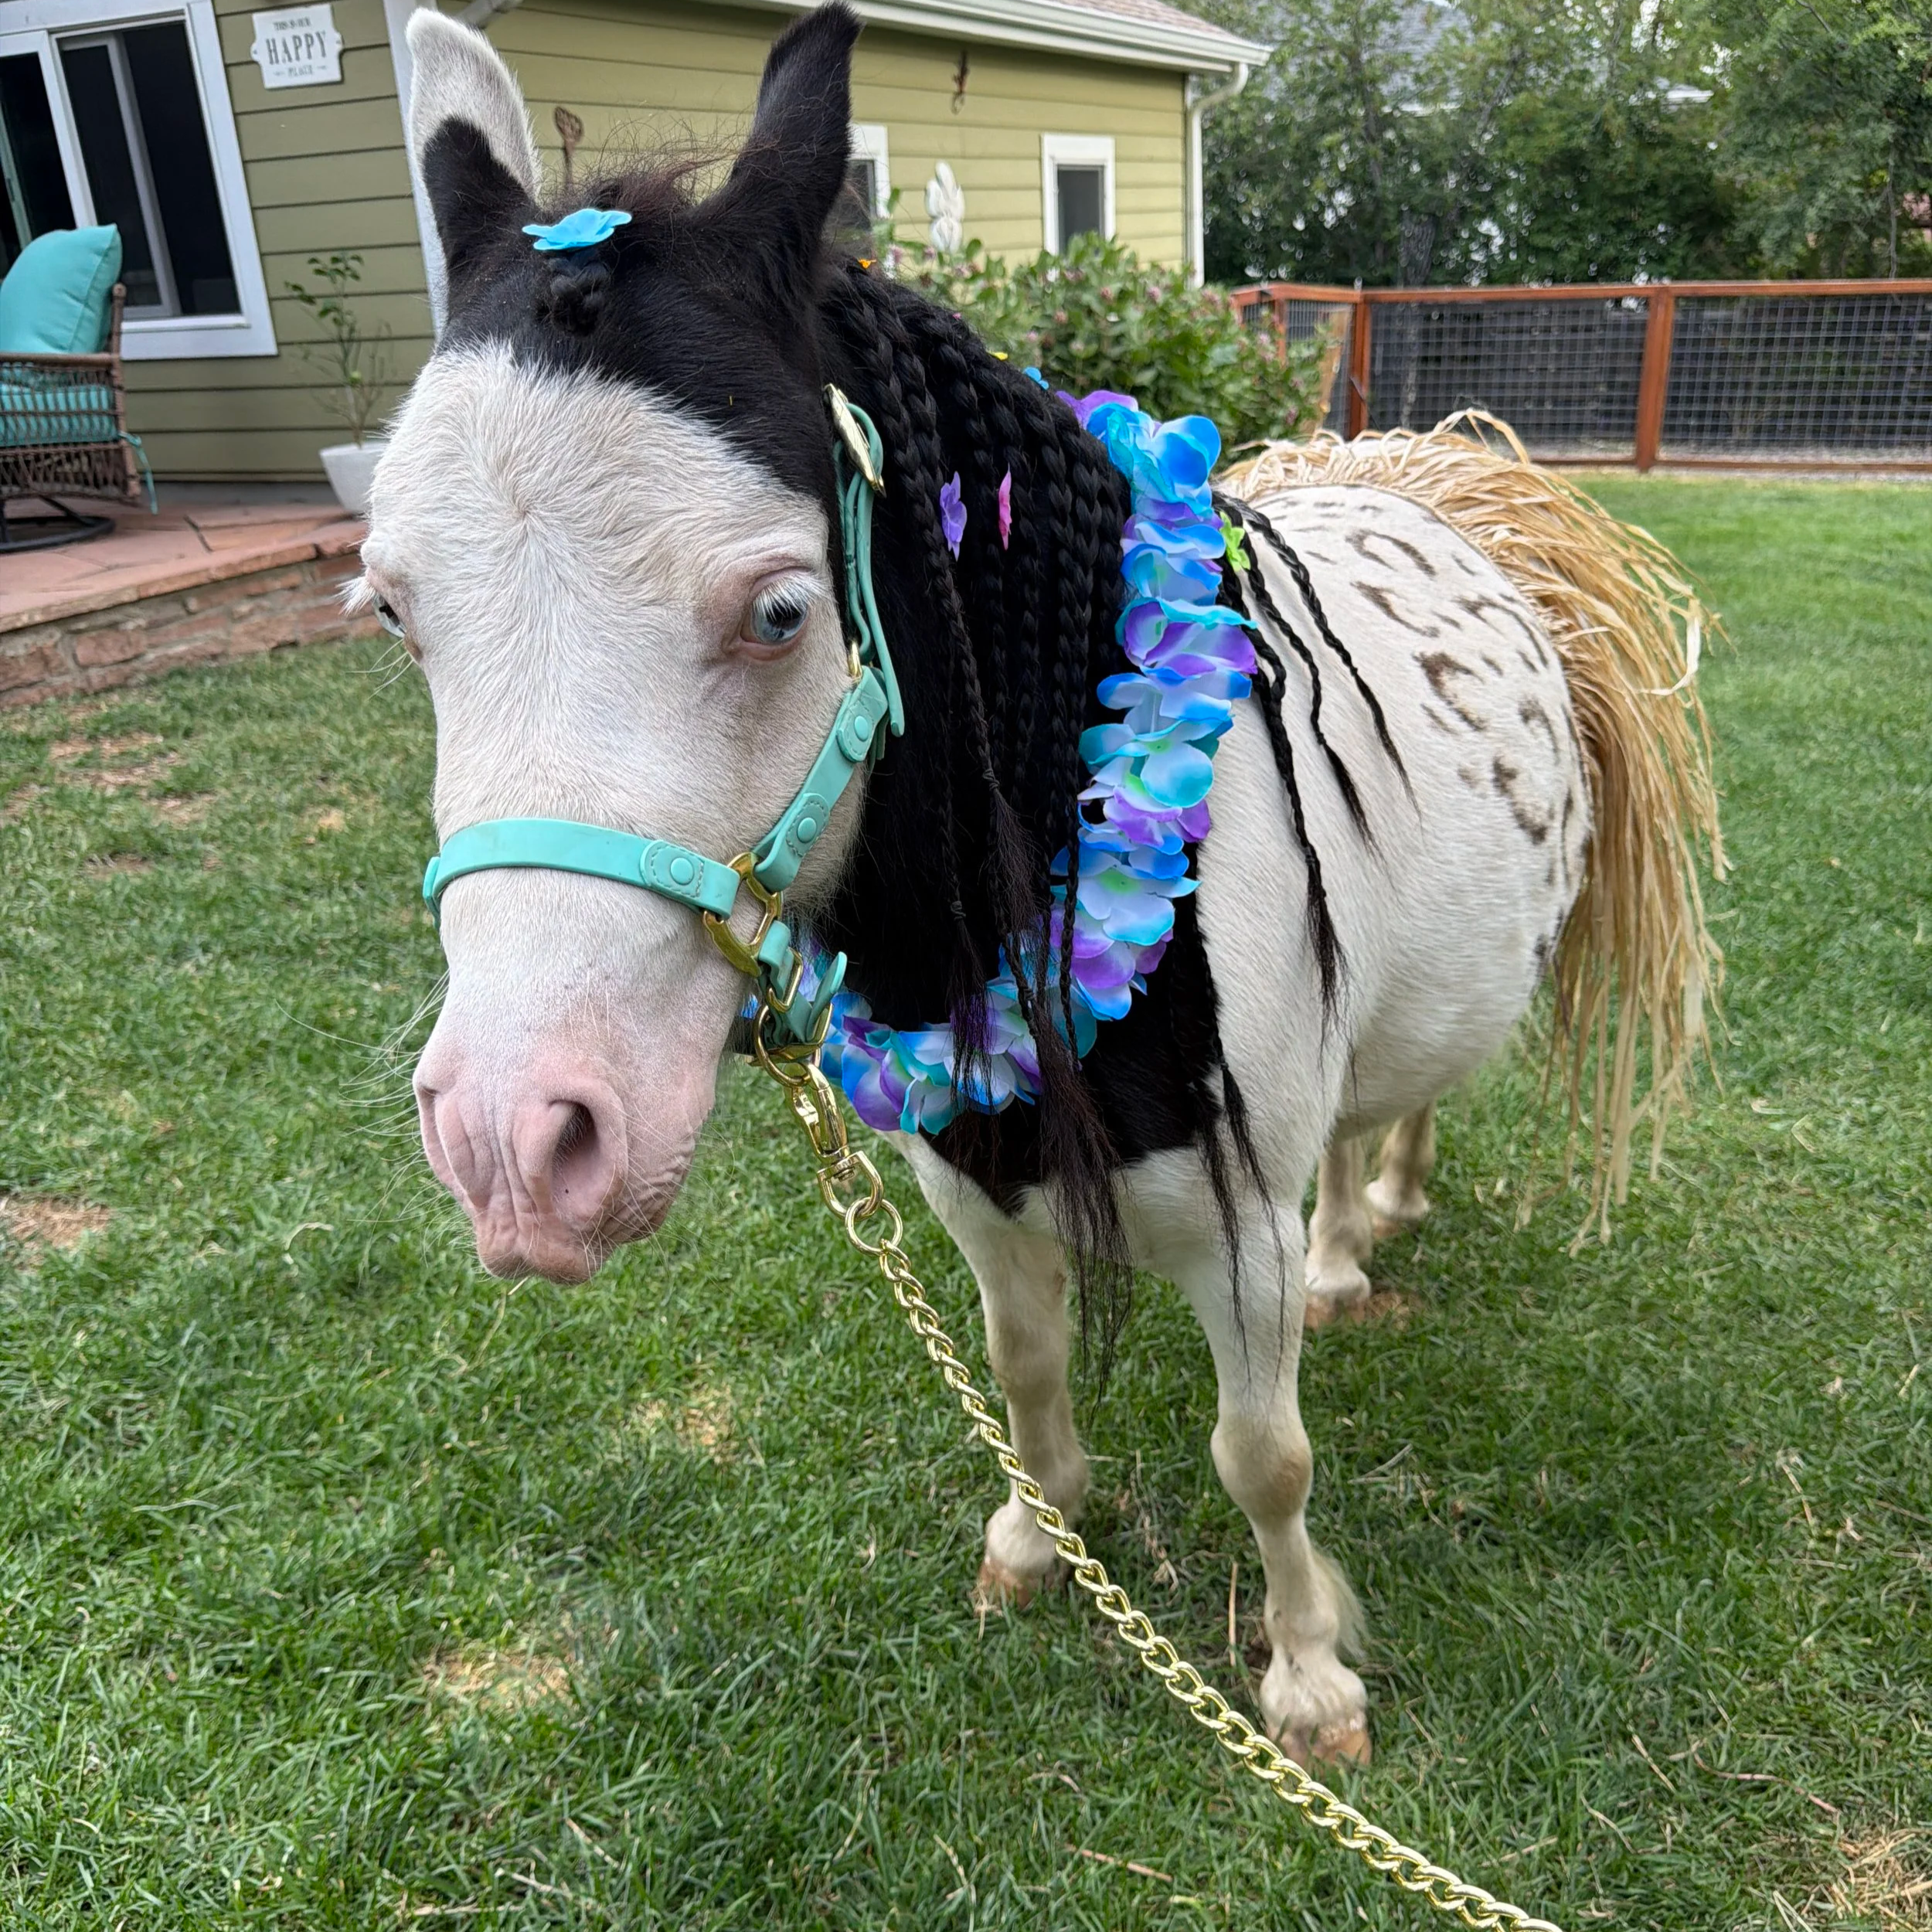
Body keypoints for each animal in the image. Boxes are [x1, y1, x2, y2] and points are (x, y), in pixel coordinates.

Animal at [361, 1, 1720, 1768]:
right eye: (392, 610)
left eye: (780, 612)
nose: (517, 1148)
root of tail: (1438, 476)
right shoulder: (968, 1183)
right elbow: (1021, 1373)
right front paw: (1037, 1531)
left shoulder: (1239, 1229)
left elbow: (1264, 1457)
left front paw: (1305, 1675)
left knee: (1412, 1104)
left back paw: (1374, 1227)